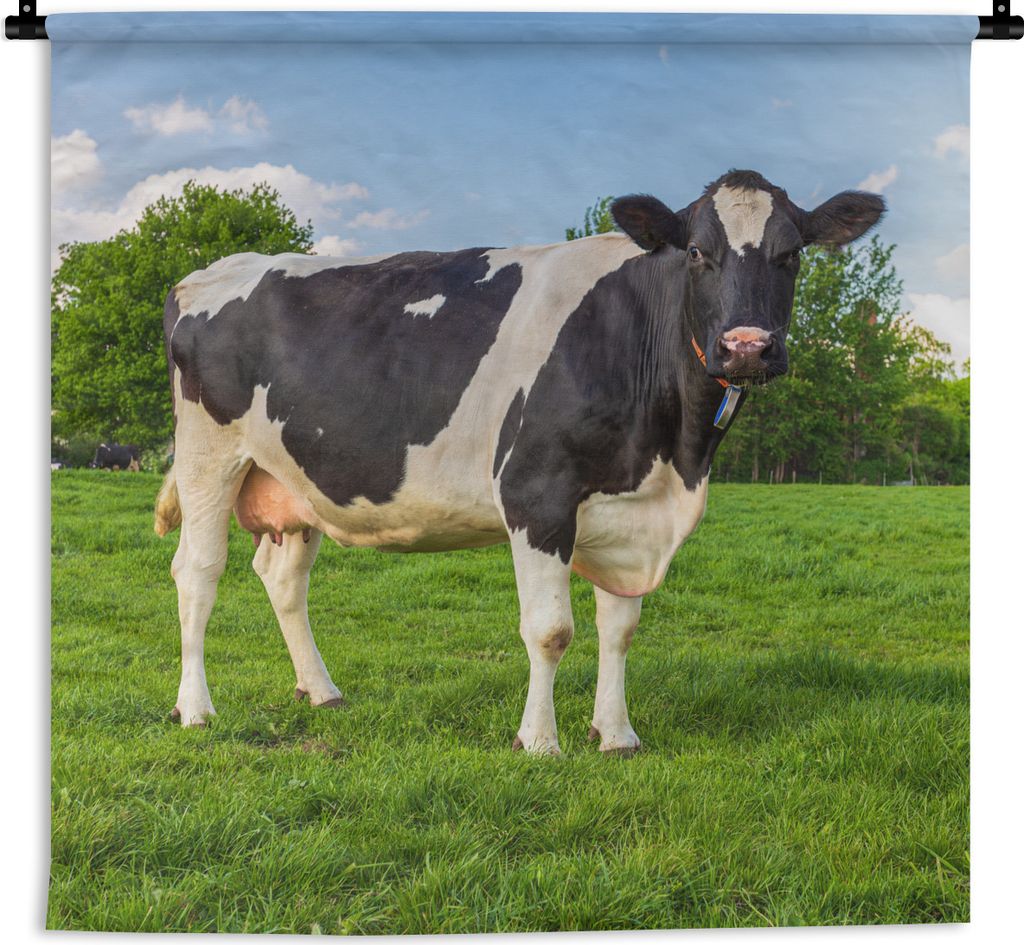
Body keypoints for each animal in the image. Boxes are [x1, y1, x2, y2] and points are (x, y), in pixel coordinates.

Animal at [154, 170, 884, 753]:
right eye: (699, 252)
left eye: (792, 254)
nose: (747, 347)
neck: (674, 455)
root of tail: (206, 272)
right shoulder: (538, 493)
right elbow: (551, 630)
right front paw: (538, 741)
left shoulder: (627, 510)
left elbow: (620, 628)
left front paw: (616, 734)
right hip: (209, 457)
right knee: (198, 571)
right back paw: (195, 707)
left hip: (296, 477)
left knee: (283, 577)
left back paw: (322, 689)